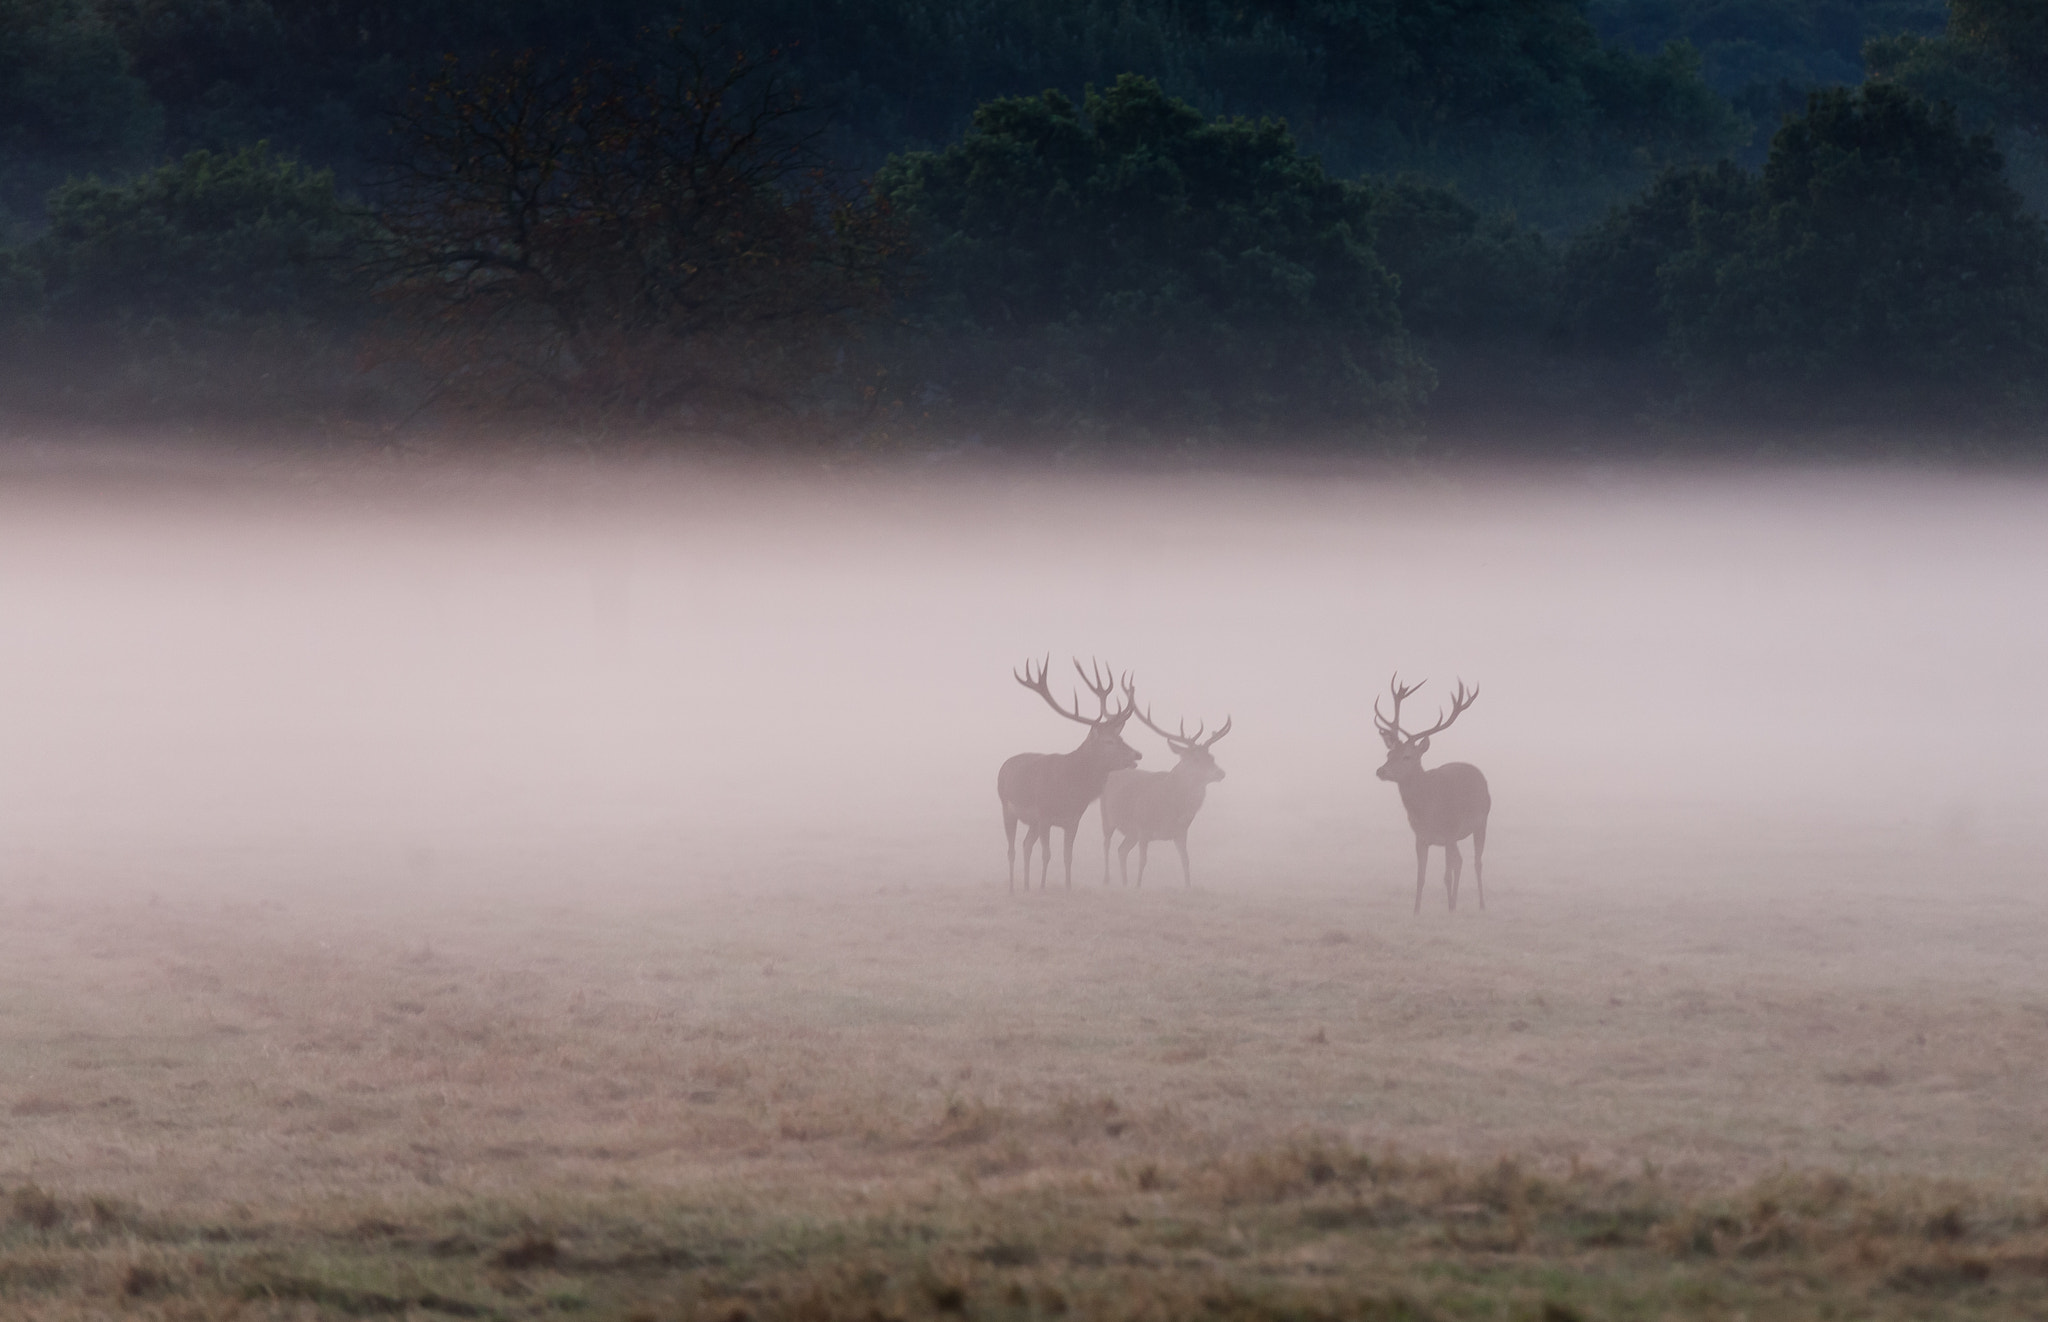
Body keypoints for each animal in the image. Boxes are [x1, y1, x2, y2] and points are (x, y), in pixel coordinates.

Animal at [999, 658, 1146, 892]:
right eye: (1108, 741)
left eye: (1121, 737)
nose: (1137, 754)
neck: (1070, 790)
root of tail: (1003, 767)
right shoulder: (1044, 815)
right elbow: (1047, 854)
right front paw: (1043, 888)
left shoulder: (1073, 819)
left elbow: (1068, 856)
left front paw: (1067, 889)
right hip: (1007, 808)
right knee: (1012, 849)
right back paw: (1014, 889)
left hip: (1031, 822)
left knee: (1025, 845)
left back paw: (1027, 887)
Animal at [1105, 703, 1228, 892]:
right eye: (1195, 759)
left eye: (1211, 757)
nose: (1220, 773)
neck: (1169, 807)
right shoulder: (1143, 827)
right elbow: (1143, 861)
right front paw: (1138, 886)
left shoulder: (1181, 831)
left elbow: (1186, 860)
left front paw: (1188, 887)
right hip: (1107, 816)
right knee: (1107, 846)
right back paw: (1108, 880)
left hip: (1131, 832)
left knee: (1121, 850)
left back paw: (1125, 883)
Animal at [1376, 683, 1490, 912]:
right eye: (1388, 754)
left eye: (1407, 756)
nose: (1381, 771)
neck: (1428, 809)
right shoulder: (1420, 837)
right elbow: (1421, 877)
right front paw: (1416, 911)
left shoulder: (1449, 831)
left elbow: (1446, 875)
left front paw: (1449, 909)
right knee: (1460, 861)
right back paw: (1454, 902)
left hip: (1481, 822)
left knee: (1476, 862)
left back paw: (1480, 905)